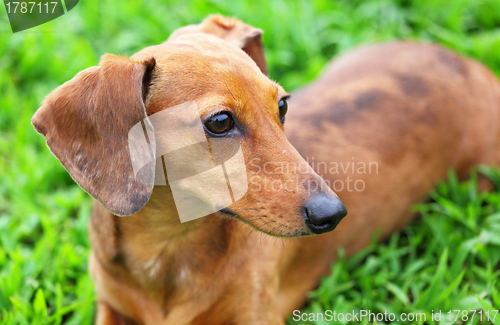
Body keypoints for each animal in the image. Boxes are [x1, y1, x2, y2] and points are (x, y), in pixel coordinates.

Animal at [31, 15, 500, 324]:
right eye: (220, 121)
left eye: (283, 105)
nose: (332, 214)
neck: (168, 250)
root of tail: (469, 65)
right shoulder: (111, 306)